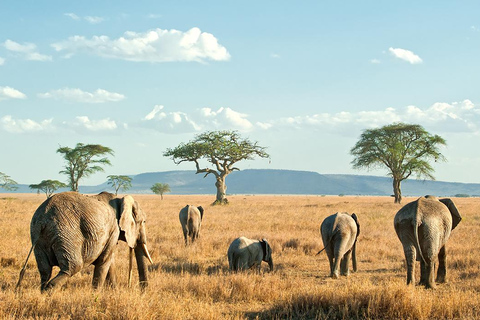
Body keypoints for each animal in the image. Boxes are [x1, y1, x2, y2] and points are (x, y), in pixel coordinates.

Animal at [16, 191, 152, 292]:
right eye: (143, 222)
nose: (143, 291)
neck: (120, 199)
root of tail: (42, 219)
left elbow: (109, 261)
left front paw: (114, 292)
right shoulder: (113, 229)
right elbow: (104, 261)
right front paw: (95, 295)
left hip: (37, 237)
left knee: (45, 270)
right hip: (66, 233)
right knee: (72, 267)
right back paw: (49, 293)